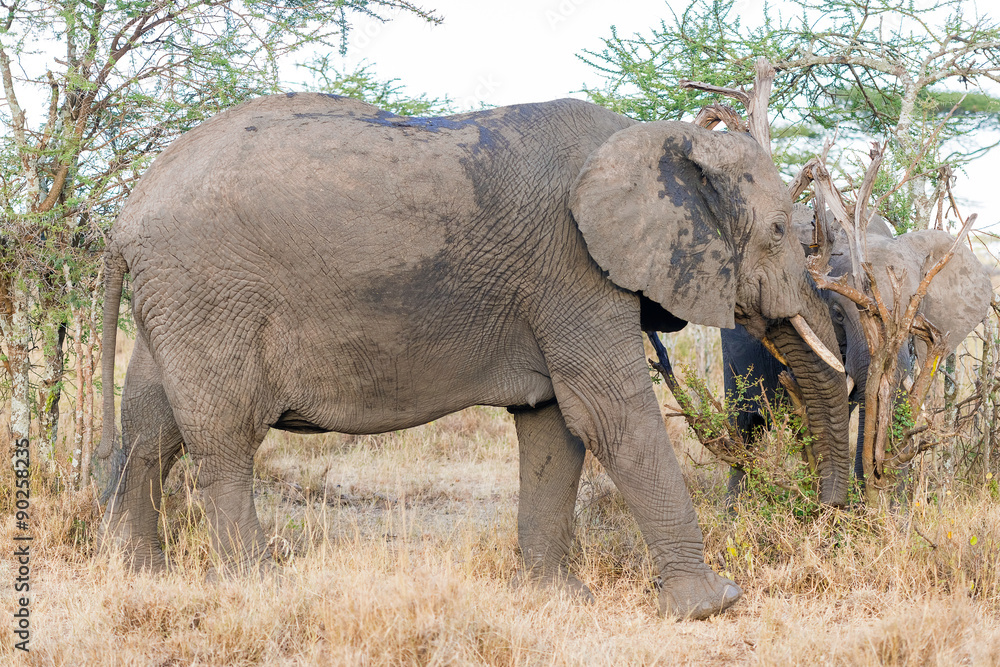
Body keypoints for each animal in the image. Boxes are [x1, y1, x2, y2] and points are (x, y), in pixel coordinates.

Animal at [98, 93, 850, 620]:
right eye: (777, 228)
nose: (832, 514)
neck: (649, 133)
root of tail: (125, 216)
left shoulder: (551, 288)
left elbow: (554, 425)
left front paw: (555, 599)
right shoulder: (572, 269)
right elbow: (609, 413)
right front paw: (713, 604)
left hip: (176, 300)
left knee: (150, 427)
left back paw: (141, 575)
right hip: (207, 291)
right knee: (222, 436)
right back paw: (258, 581)